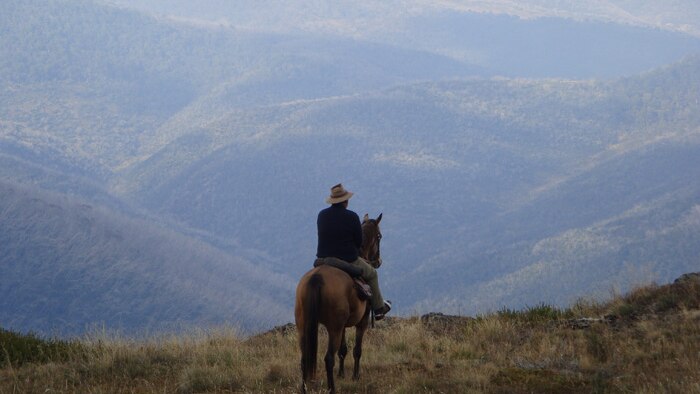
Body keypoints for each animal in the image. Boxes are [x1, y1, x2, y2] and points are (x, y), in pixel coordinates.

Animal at [294, 214, 382, 392]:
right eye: (379, 237)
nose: (378, 262)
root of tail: (317, 277)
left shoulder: (343, 325)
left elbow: (343, 349)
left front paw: (341, 374)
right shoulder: (362, 321)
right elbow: (357, 350)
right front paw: (355, 376)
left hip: (303, 325)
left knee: (304, 358)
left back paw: (304, 388)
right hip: (333, 327)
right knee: (328, 358)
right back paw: (332, 389)